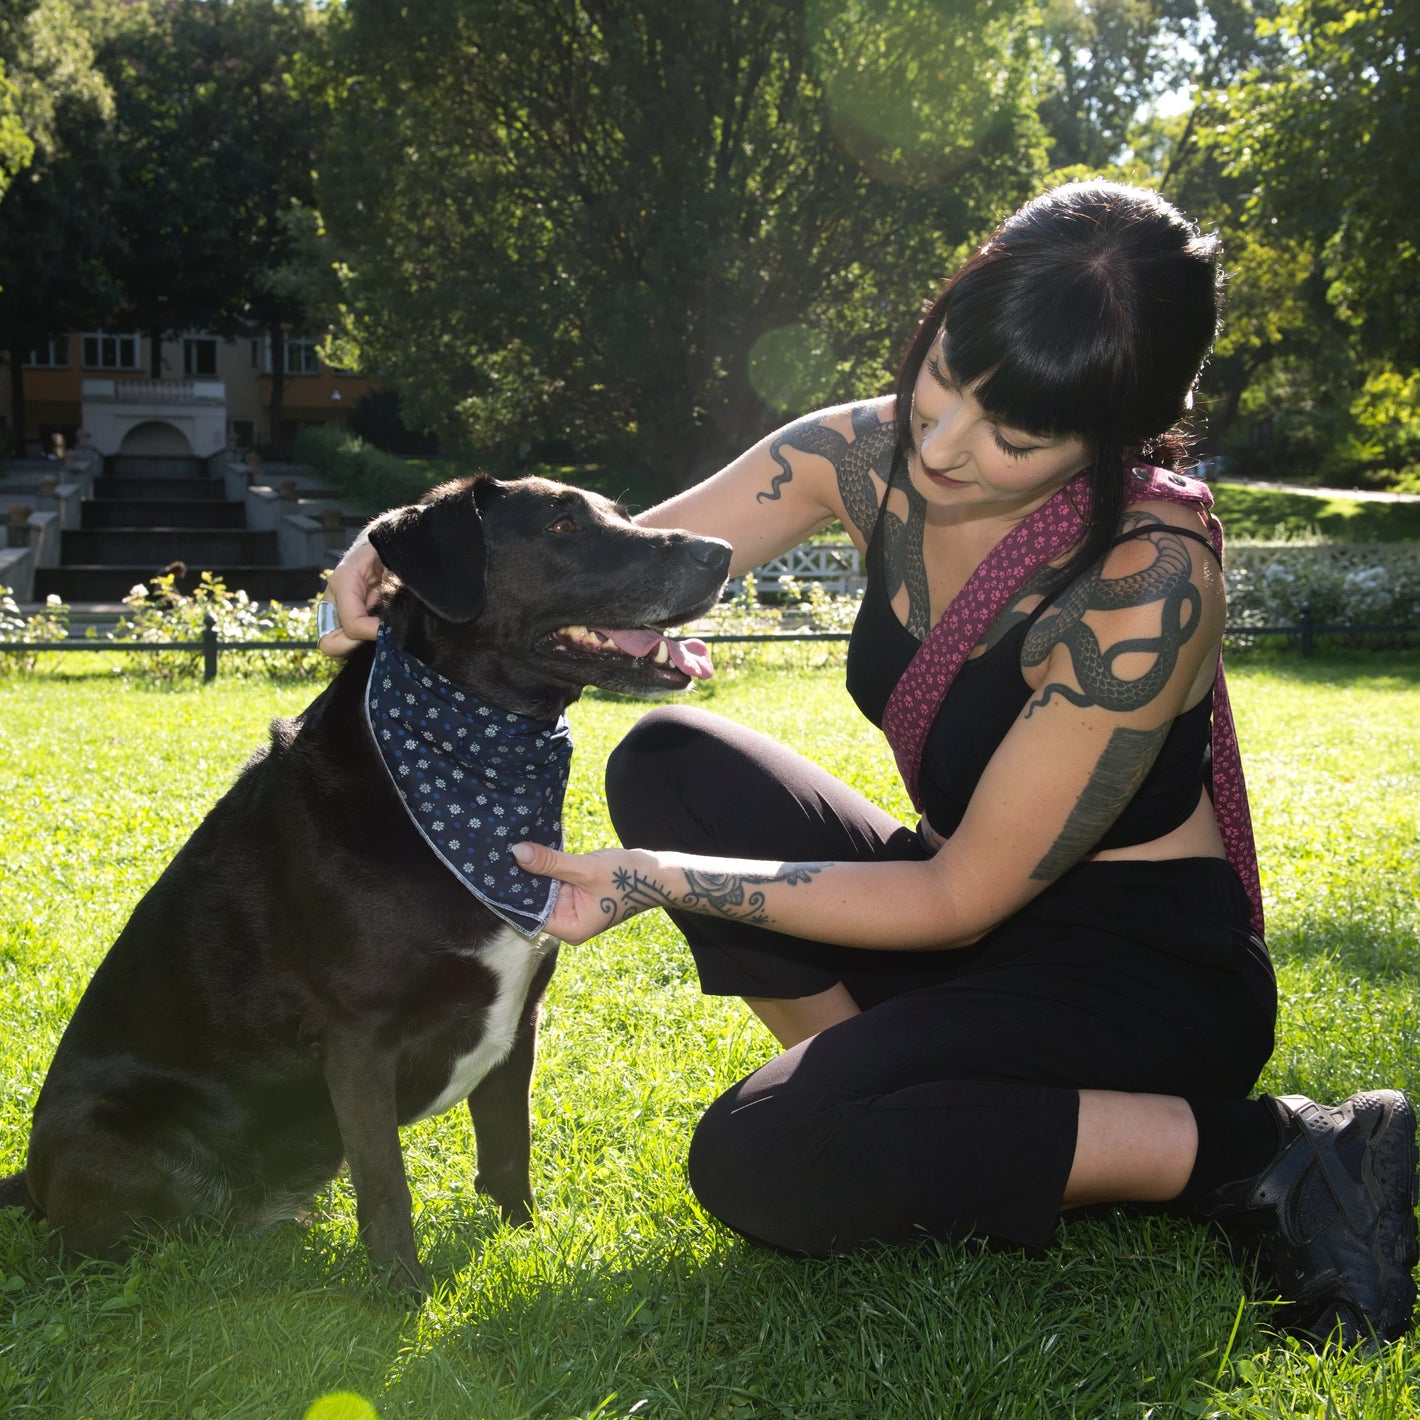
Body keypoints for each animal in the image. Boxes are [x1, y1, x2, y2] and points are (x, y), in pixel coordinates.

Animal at [0, 474, 732, 1289]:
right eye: (562, 524)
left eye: (620, 514)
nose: (722, 551)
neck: (470, 767)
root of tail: (31, 1181)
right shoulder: (358, 1039)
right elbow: (386, 1185)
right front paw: (402, 1294)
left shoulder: (522, 1017)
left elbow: (509, 1146)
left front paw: (524, 1242)